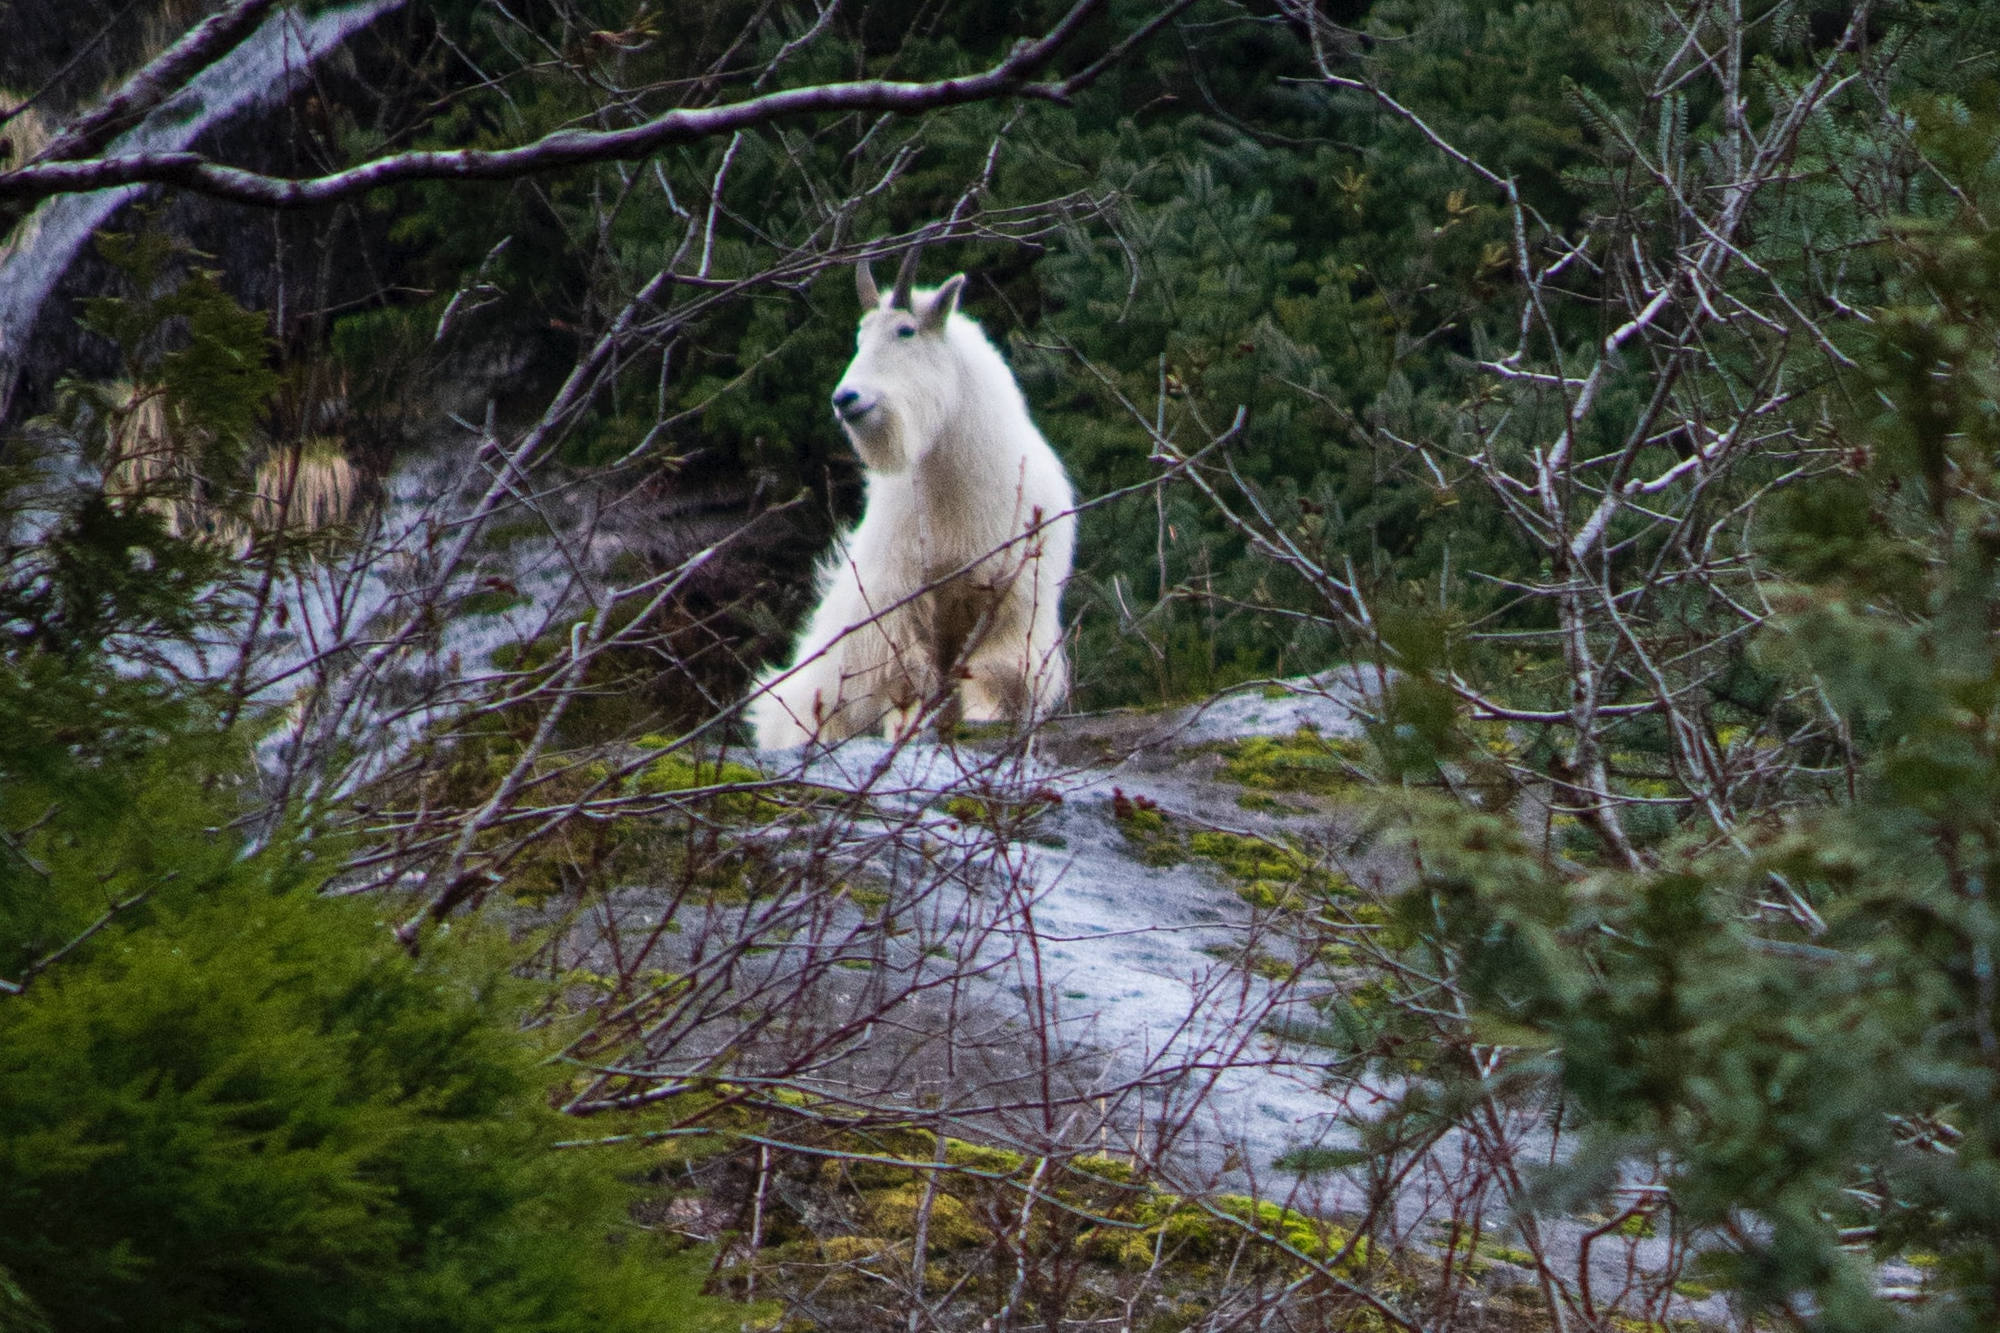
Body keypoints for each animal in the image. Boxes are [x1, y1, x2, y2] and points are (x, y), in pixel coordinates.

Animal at [748, 252, 1080, 748]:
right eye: (860, 336)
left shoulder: (1012, 600)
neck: (953, 492)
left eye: (906, 331)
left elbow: (987, 675)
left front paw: (982, 723)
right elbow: (904, 681)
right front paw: (904, 732)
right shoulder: (899, 598)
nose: (846, 399)